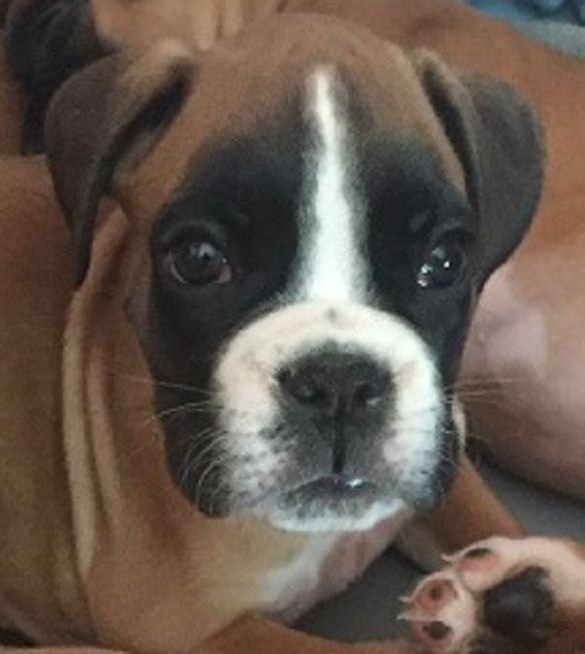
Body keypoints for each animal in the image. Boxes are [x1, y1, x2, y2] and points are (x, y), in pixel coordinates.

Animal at [0, 1, 584, 652]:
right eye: (199, 259)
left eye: (444, 262)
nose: (340, 381)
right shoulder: (186, 629)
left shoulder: (439, 451)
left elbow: (483, 515)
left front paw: (531, 583)